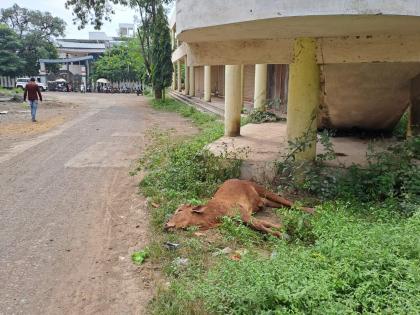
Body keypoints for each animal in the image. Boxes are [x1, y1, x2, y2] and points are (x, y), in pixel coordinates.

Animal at [165, 179, 316, 238]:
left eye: (179, 210)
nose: (166, 225)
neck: (211, 217)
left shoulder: (243, 214)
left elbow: (262, 226)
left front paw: (283, 234)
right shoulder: (242, 219)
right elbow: (264, 224)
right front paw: (282, 230)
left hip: (263, 190)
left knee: (290, 202)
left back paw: (313, 210)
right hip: (265, 201)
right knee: (277, 204)